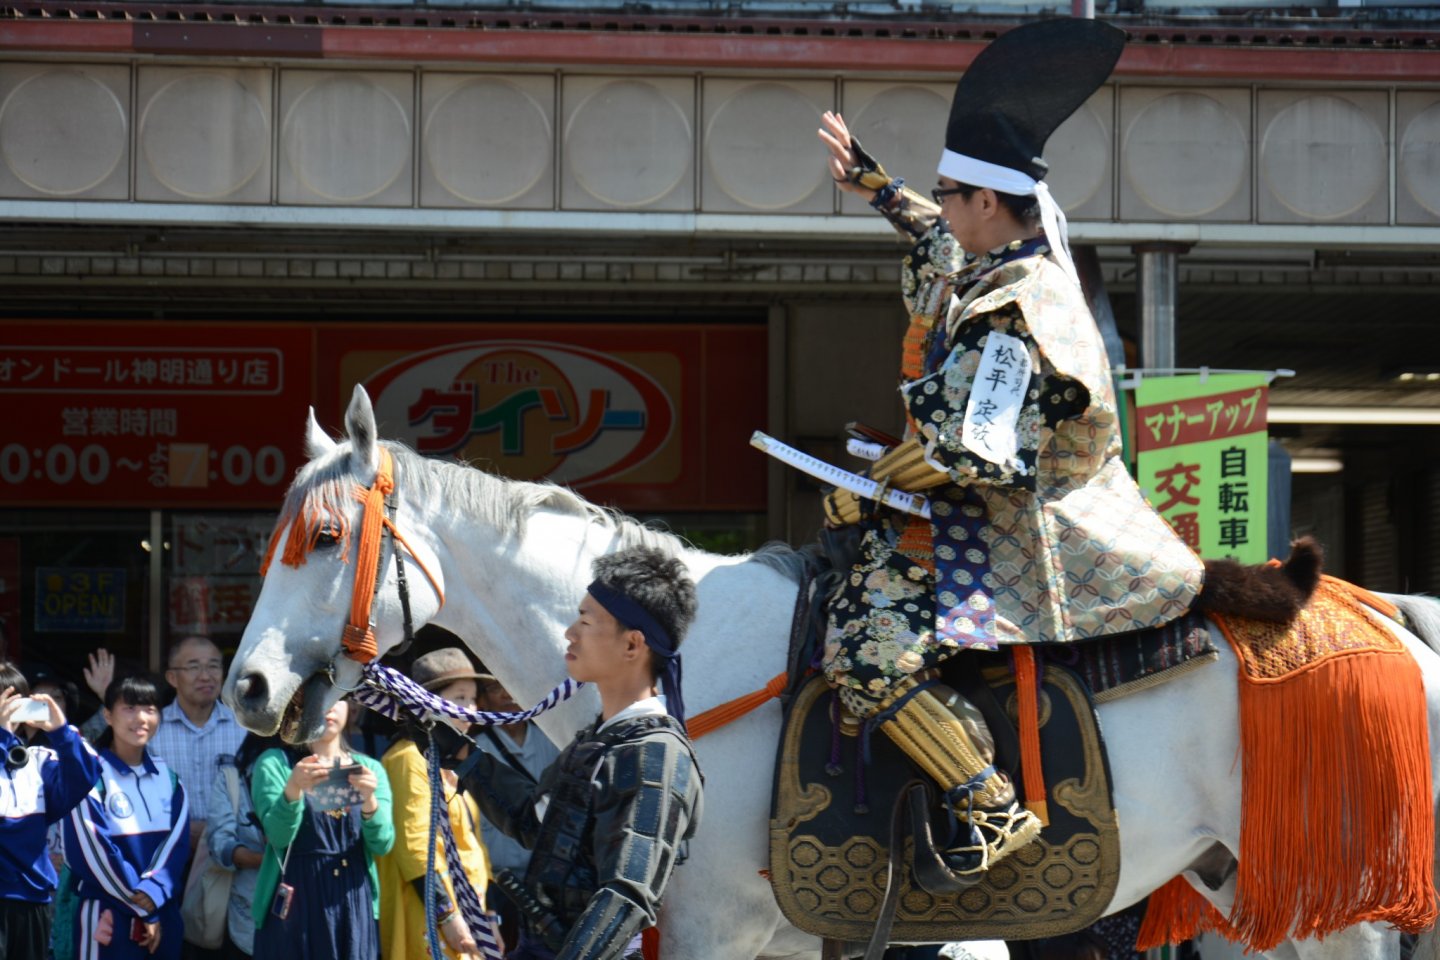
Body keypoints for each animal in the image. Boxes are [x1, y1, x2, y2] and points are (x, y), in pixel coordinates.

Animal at [221, 388, 1440, 960]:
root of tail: (1391, 612)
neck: (680, 663)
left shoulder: (707, 930)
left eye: (321, 540)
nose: (246, 691)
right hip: (1253, 888)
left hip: (1346, 901)